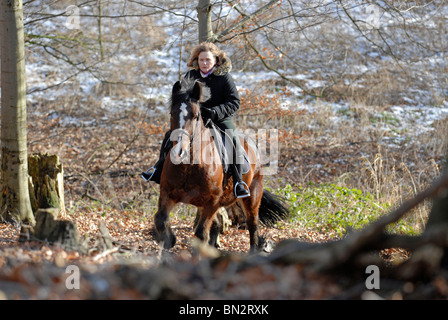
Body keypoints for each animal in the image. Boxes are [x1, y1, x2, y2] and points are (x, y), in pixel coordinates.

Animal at [154, 78, 288, 252]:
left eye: (196, 116)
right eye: (172, 113)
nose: (179, 152)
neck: (189, 166)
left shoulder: (212, 201)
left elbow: (201, 233)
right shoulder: (167, 193)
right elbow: (161, 221)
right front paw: (170, 242)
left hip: (253, 194)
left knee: (252, 225)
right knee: (217, 224)